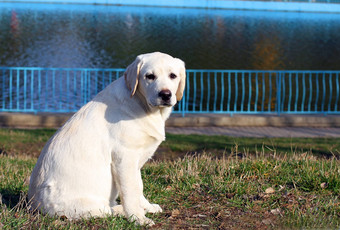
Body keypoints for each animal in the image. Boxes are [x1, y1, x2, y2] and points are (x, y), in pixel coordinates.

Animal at [28, 51, 186, 225]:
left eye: (173, 76)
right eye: (149, 76)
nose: (165, 94)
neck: (142, 104)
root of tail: (34, 204)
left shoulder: (135, 161)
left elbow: (138, 186)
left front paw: (147, 207)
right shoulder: (125, 157)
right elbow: (131, 191)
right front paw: (138, 218)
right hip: (83, 206)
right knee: (106, 210)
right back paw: (121, 210)